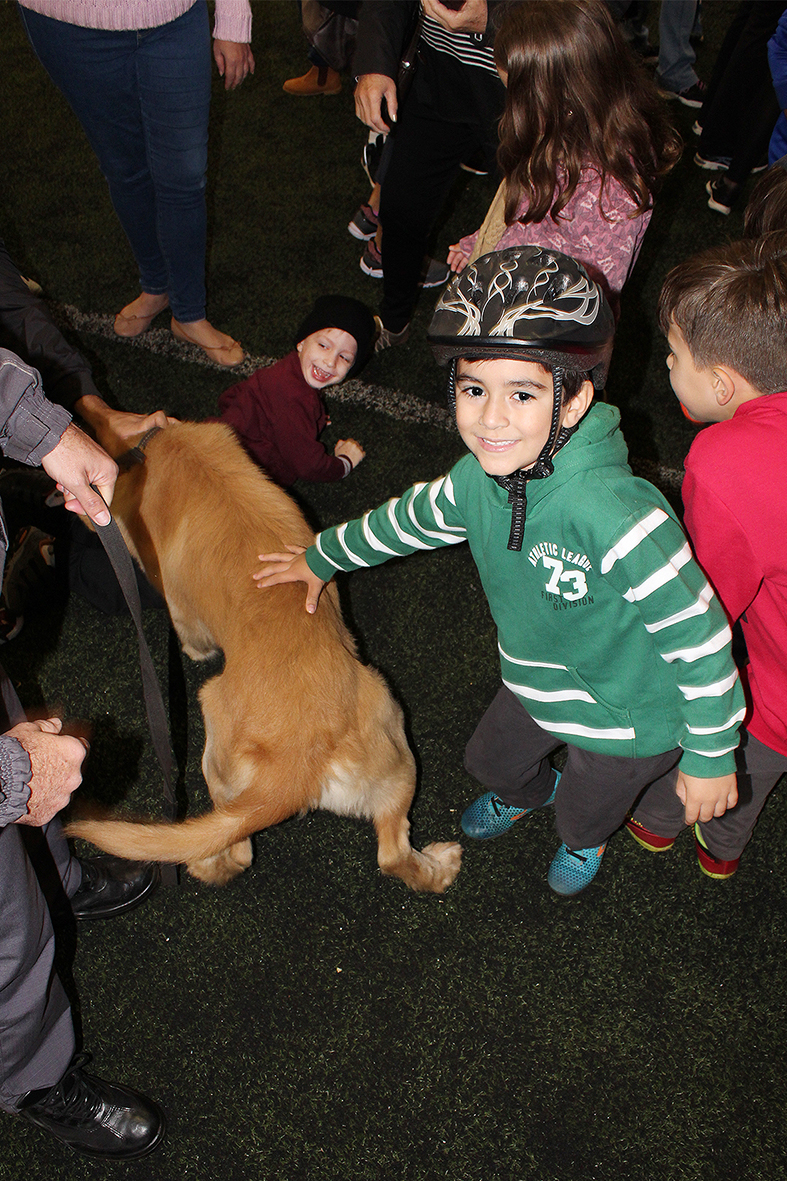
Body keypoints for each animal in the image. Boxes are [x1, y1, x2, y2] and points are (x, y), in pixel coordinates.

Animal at [67, 420, 463, 888]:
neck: (166, 445)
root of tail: (296, 763)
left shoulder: (178, 607)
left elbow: (189, 636)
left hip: (215, 737)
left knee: (236, 851)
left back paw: (203, 866)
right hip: (396, 749)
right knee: (395, 853)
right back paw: (442, 866)